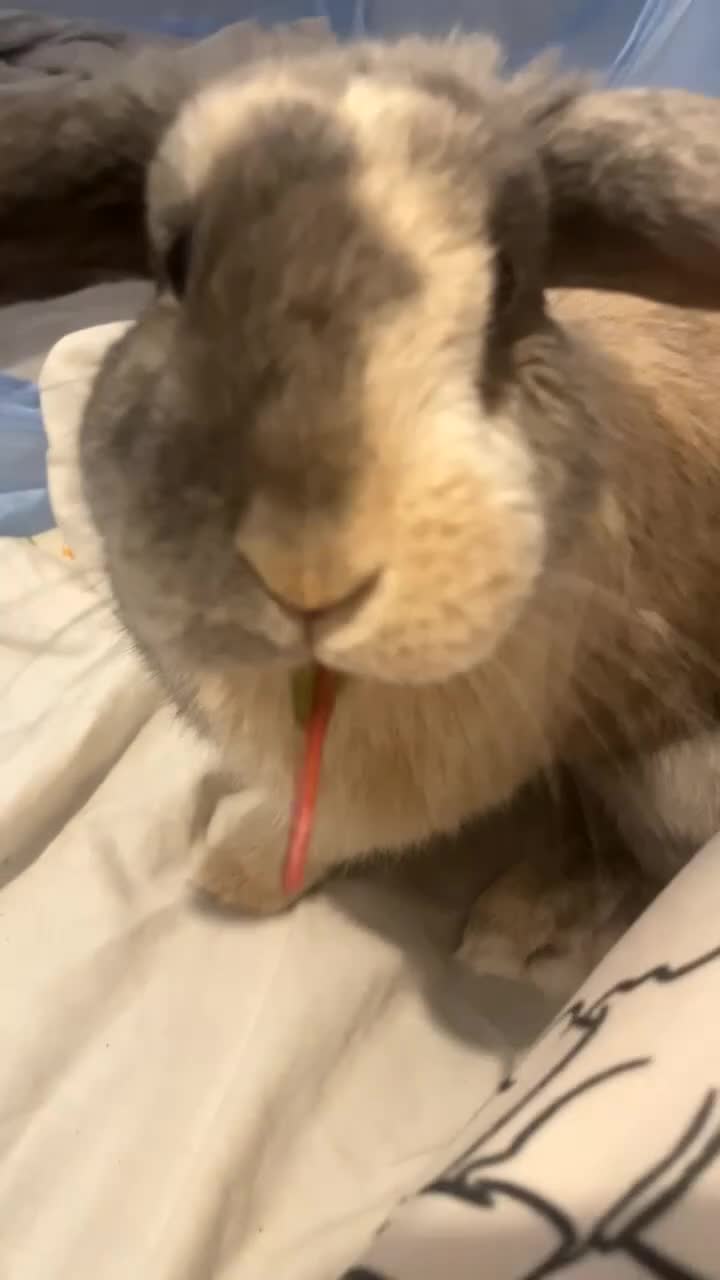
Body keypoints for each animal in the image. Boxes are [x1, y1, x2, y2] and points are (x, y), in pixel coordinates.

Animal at [44, 35, 720, 980]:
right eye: (176, 266)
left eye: (507, 286)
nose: (308, 563)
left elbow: (332, 830)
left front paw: (228, 877)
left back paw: (502, 931)